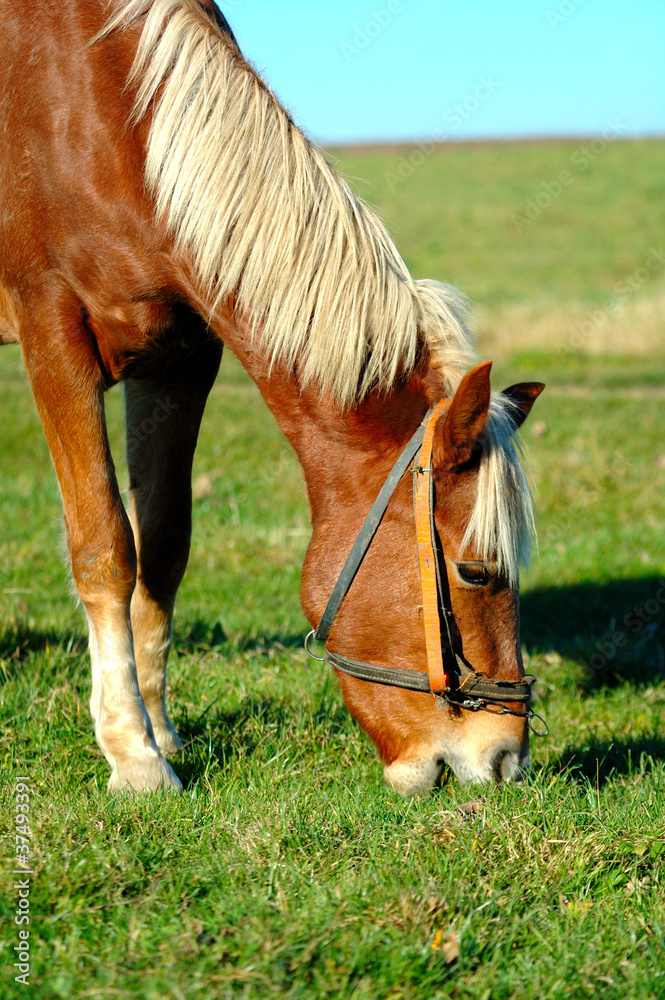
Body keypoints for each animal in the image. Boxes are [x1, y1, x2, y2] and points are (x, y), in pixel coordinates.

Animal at [0, 1, 540, 796]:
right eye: (474, 570)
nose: (505, 760)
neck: (105, 112)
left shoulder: (179, 359)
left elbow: (164, 546)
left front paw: (162, 731)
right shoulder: (55, 338)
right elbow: (105, 546)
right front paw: (134, 755)